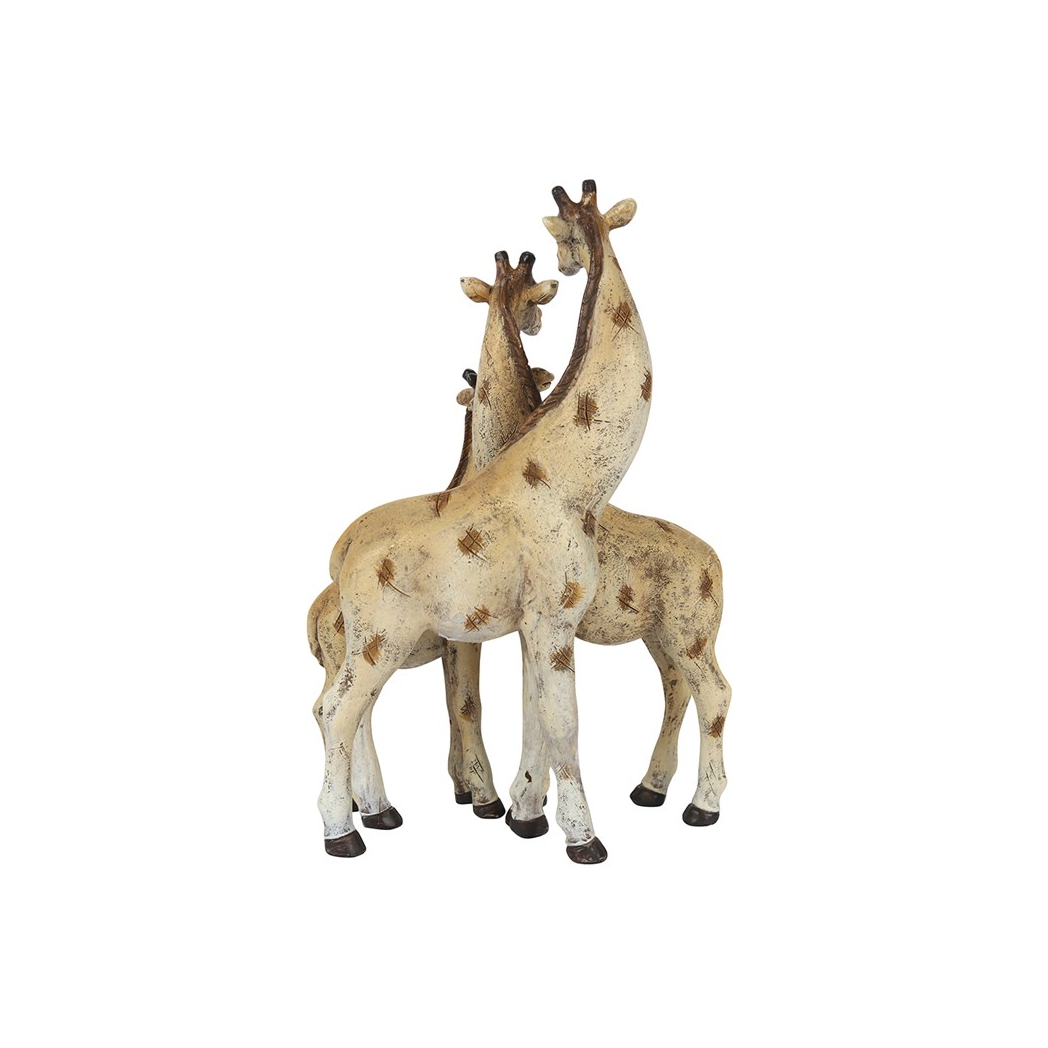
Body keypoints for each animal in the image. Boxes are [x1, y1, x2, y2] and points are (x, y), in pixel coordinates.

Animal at [319, 180, 650, 863]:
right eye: (561, 236)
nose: (569, 269)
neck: (573, 485)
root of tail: (343, 562)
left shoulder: (533, 623)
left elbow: (533, 713)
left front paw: (524, 816)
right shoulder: (552, 616)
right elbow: (563, 722)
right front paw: (583, 839)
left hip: (376, 644)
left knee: (347, 711)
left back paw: (372, 813)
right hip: (379, 639)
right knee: (336, 711)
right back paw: (345, 833)